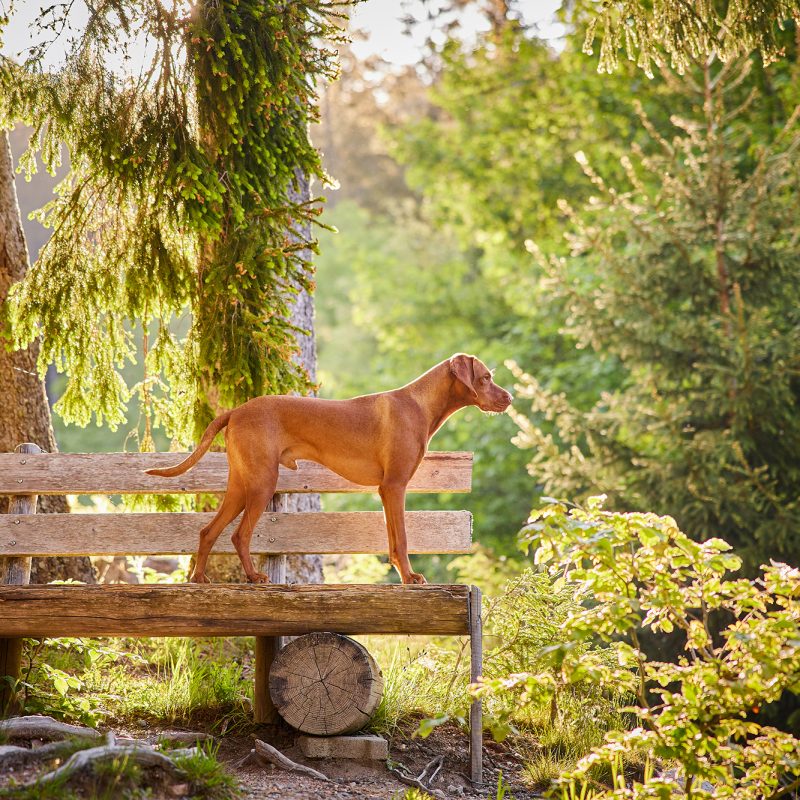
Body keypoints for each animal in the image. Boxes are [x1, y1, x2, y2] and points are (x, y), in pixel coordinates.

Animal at [145, 354, 512, 584]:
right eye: (486, 377)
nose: (509, 398)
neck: (420, 404)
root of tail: (235, 410)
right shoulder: (394, 486)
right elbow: (404, 540)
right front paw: (410, 578)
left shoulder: (385, 491)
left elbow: (393, 542)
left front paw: (402, 575)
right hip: (262, 483)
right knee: (239, 534)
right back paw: (253, 577)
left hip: (240, 485)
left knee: (208, 531)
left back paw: (198, 578)